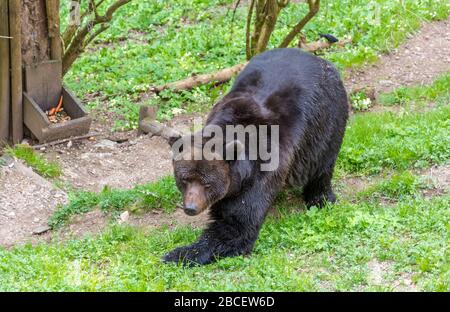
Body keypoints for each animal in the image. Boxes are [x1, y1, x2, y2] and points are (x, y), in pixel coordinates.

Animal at [163, 48, 350, 266]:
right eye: (185, 179)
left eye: (207, 183)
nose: (191, 208)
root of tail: (318, 58)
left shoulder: (261, 171)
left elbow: (237, 226)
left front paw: (177, 253)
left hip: (326, 119)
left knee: (322, 164)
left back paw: (320, 199)